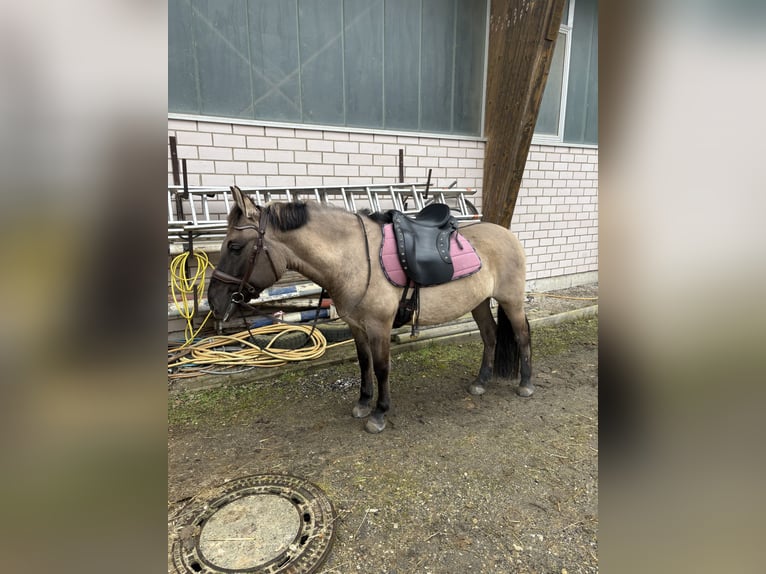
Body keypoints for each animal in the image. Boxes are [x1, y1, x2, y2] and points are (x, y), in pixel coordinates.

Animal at [210, 187, 536, 434]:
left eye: (235, 246)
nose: (214, 301)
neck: (354, 258)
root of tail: (507, 234)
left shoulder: (379, 326)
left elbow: (381, 367)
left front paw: (379, 413)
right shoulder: (357, 326)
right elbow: (364, 364)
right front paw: (363, 403)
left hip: (511, 301)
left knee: (522, 335)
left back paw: (526, 384)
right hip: (479, 302)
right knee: (490, 335)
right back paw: (481, 382)